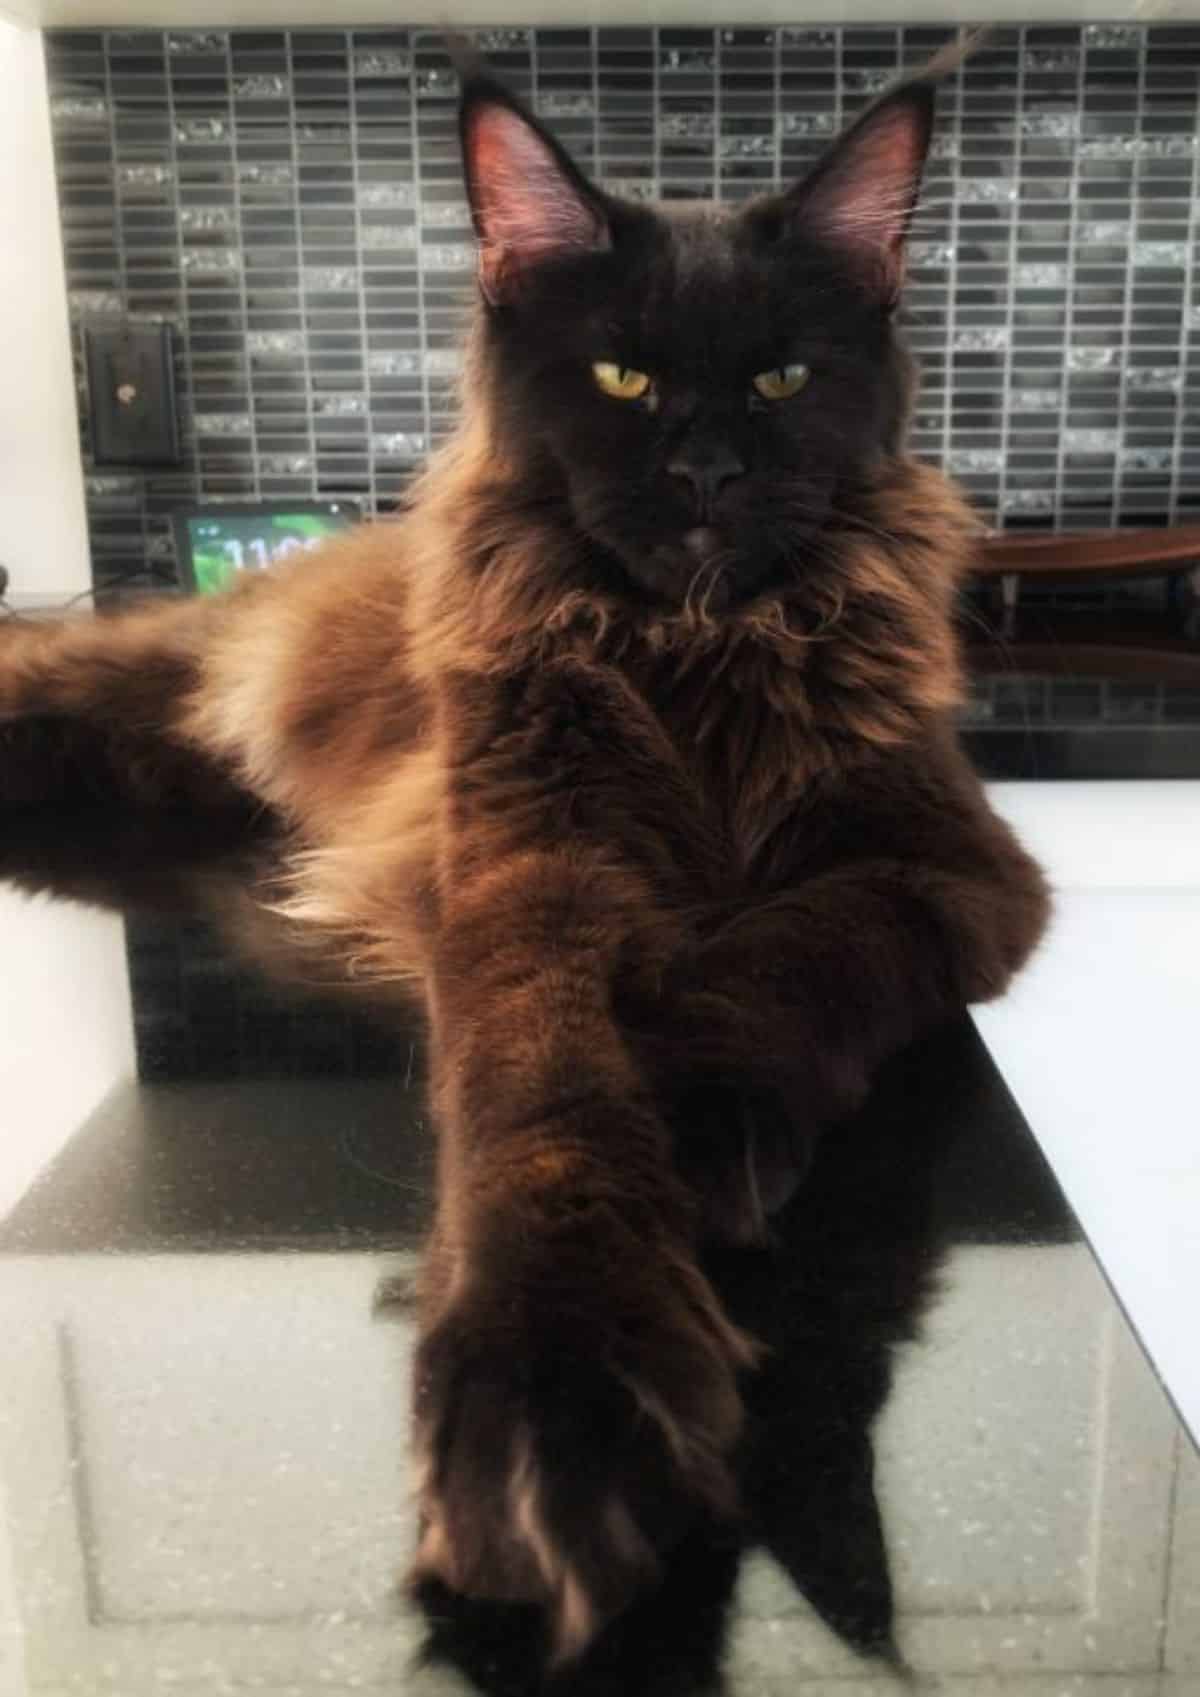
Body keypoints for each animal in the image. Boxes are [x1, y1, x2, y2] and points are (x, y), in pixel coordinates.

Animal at [0, 43, 1052, 1669]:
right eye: (624, 376)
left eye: (782, 378)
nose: (706, 472)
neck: (696, 656)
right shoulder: (525, 864)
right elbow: (544, 1092)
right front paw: (557, 1378)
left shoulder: (948, 866)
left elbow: (796, 949)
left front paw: (696, 1091)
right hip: (162, 684)